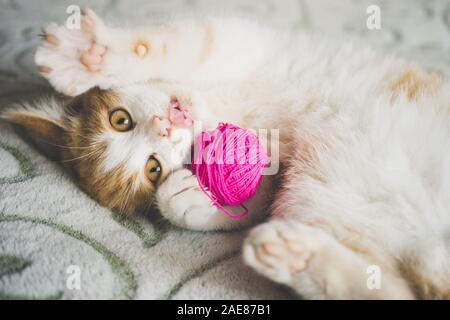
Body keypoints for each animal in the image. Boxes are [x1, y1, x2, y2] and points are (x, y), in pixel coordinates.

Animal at [1, 9, 448, 300]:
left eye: (120, 119)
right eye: (153, 169)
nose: (165, 127)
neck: (227, 102)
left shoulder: (239, 43)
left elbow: (186, 44)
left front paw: (91, 54)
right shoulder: (279, 164)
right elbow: (255, 195)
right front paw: (186, 198)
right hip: (325, 200)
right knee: (391, 290)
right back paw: (293, 254)